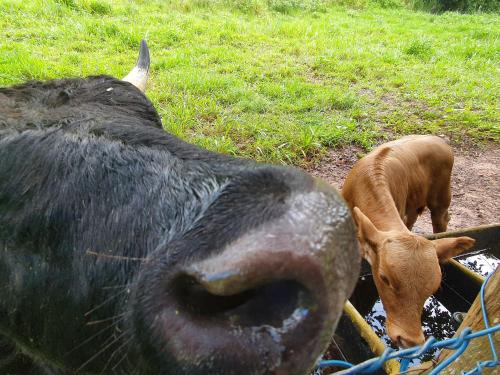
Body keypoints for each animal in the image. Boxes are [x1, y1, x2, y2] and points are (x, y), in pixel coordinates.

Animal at [342, 135, 474, 350]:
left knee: (441, 219)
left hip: (441, 197)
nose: (410, 341)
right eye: (384, 278)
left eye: (434, 288)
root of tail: (437, 138)